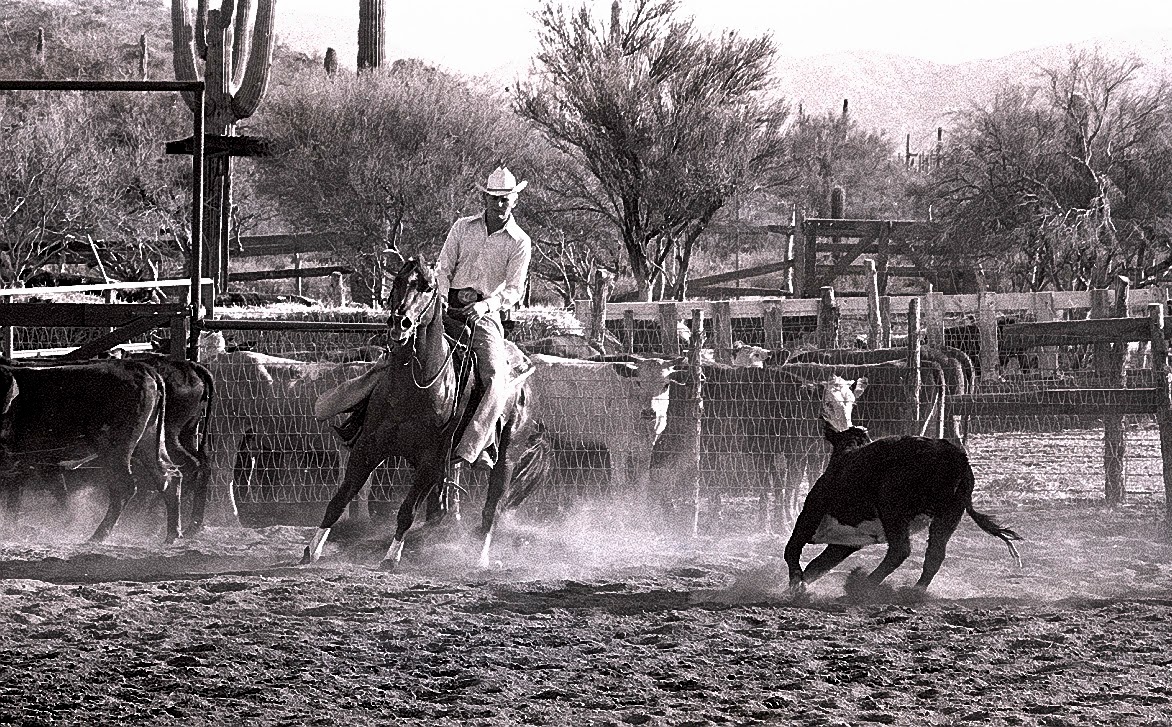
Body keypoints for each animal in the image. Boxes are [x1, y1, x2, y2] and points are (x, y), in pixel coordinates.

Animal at [302, 255, 549, 569]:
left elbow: (407, 510)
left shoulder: (430, 461)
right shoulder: (367, 448)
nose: (400, 322)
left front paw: (391, 557)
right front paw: (312, 550)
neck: (413, 387)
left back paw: (480, 558)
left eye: (428, 287)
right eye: (397, 280)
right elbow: (339, 499)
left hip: (507, 457)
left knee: (492, 507)